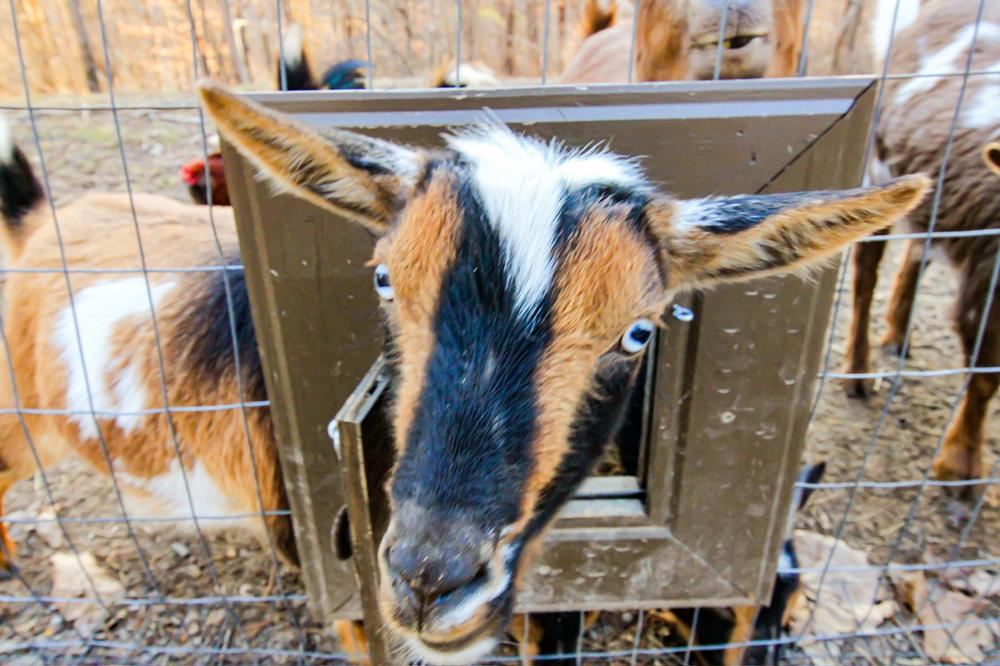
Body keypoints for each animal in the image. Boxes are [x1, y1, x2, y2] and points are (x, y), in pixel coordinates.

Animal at [841, 0, 1000, 482]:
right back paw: (858, 373)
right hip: (877, 166)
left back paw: (895, 333)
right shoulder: (988, 284)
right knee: (866, 276)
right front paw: (959, 469)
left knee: (916, 248)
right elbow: (985, 373)